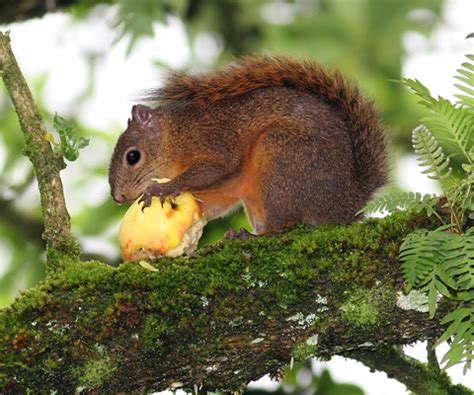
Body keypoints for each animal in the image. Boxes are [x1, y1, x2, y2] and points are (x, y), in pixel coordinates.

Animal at [108, 56, 388, 235]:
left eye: (132, 157)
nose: (118, 198)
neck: (175, 135)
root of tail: (347, 203)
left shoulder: (213, 140)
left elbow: (216, 168)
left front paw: (162, 189)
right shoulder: (223, 191)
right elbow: (210, 205)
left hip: (281, 157)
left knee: (282, 225)